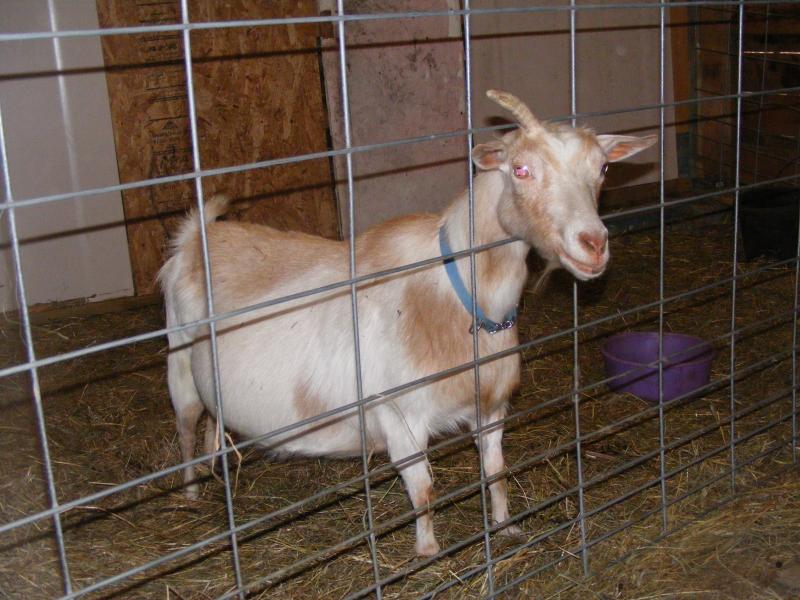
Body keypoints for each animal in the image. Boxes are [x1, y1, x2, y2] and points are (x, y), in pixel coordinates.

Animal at [159, 90, 656, 556]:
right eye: (520, 169)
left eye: (603, 169)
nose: (593, 243)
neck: (464, 301)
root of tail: (197, 235)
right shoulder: (401, 417)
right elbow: (424, 492)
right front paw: (428, 551)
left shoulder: (492, 408)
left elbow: (496, 472)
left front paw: (505, 526)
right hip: (178, 356)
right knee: (184, 424)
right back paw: (190, 492)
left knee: (211, 419)